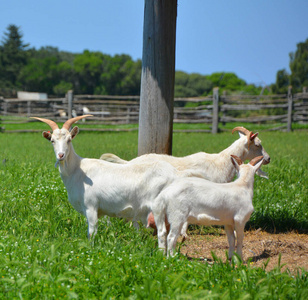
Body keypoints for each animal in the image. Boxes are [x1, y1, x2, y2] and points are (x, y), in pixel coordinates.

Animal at [30, 115, 185, 239]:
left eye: (69, 140)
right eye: (52, 141)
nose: (61, 155)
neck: (78, 171)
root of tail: (176, 174)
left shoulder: (91, 206)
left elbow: (92, 232)